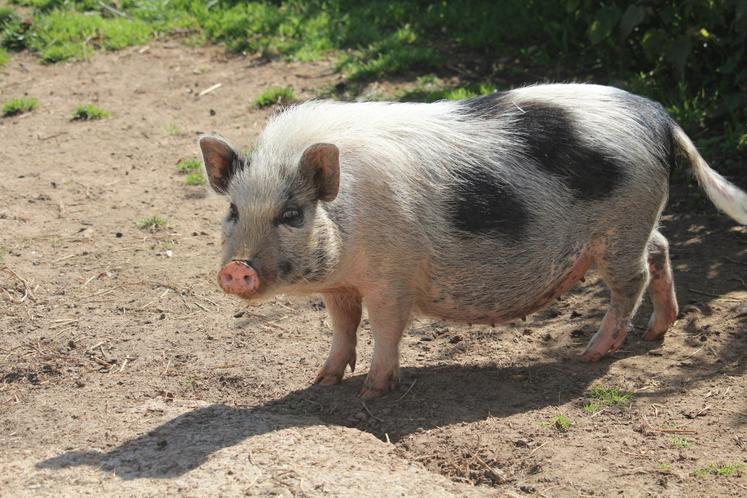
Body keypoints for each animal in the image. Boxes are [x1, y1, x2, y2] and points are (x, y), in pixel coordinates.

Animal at [199, 83, 747, 398]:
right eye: (233, 211)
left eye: (291, 215)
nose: (237, 268)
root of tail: (658, 116)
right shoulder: (342, 285)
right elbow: (342, 326)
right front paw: (322, 380)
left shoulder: (392, 279)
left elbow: (386, 327)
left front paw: (373, 391)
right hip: (638, 222)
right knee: (661, 248)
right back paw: (657, 331)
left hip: (621, 226)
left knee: (628, 282)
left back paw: (592, 353)